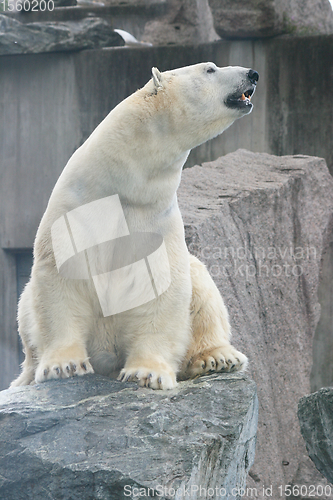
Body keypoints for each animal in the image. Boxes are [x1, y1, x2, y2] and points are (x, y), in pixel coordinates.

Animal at [10, 63, 258, 390]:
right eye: (210, 69)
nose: (253, 74)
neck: (124, 185)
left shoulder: (155, 217)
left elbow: (161, 286)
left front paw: (146, 373)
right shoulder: (76, 209)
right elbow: (63, 278)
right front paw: (64, 366)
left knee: (203, 288)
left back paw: (216, 357)